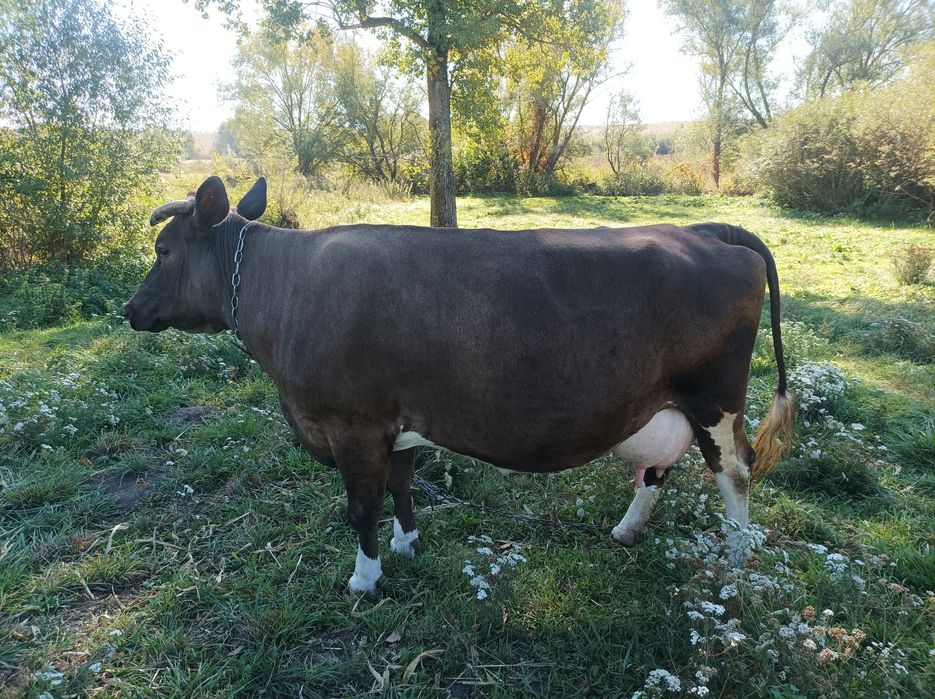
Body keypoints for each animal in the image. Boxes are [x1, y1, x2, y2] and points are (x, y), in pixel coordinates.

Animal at [124, 175, 795, 595]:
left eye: (162, 249)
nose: (130, 310)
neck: (286, 286)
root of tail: (703, 229)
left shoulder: (352, 423)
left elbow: (361, 505)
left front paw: (364, 578)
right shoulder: (395, 424)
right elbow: (400, 488)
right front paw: (406, 545)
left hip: (715, 397)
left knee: (734, 471)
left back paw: (738, 557)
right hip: (667, 401)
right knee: (660, 467)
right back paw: (629, 531)